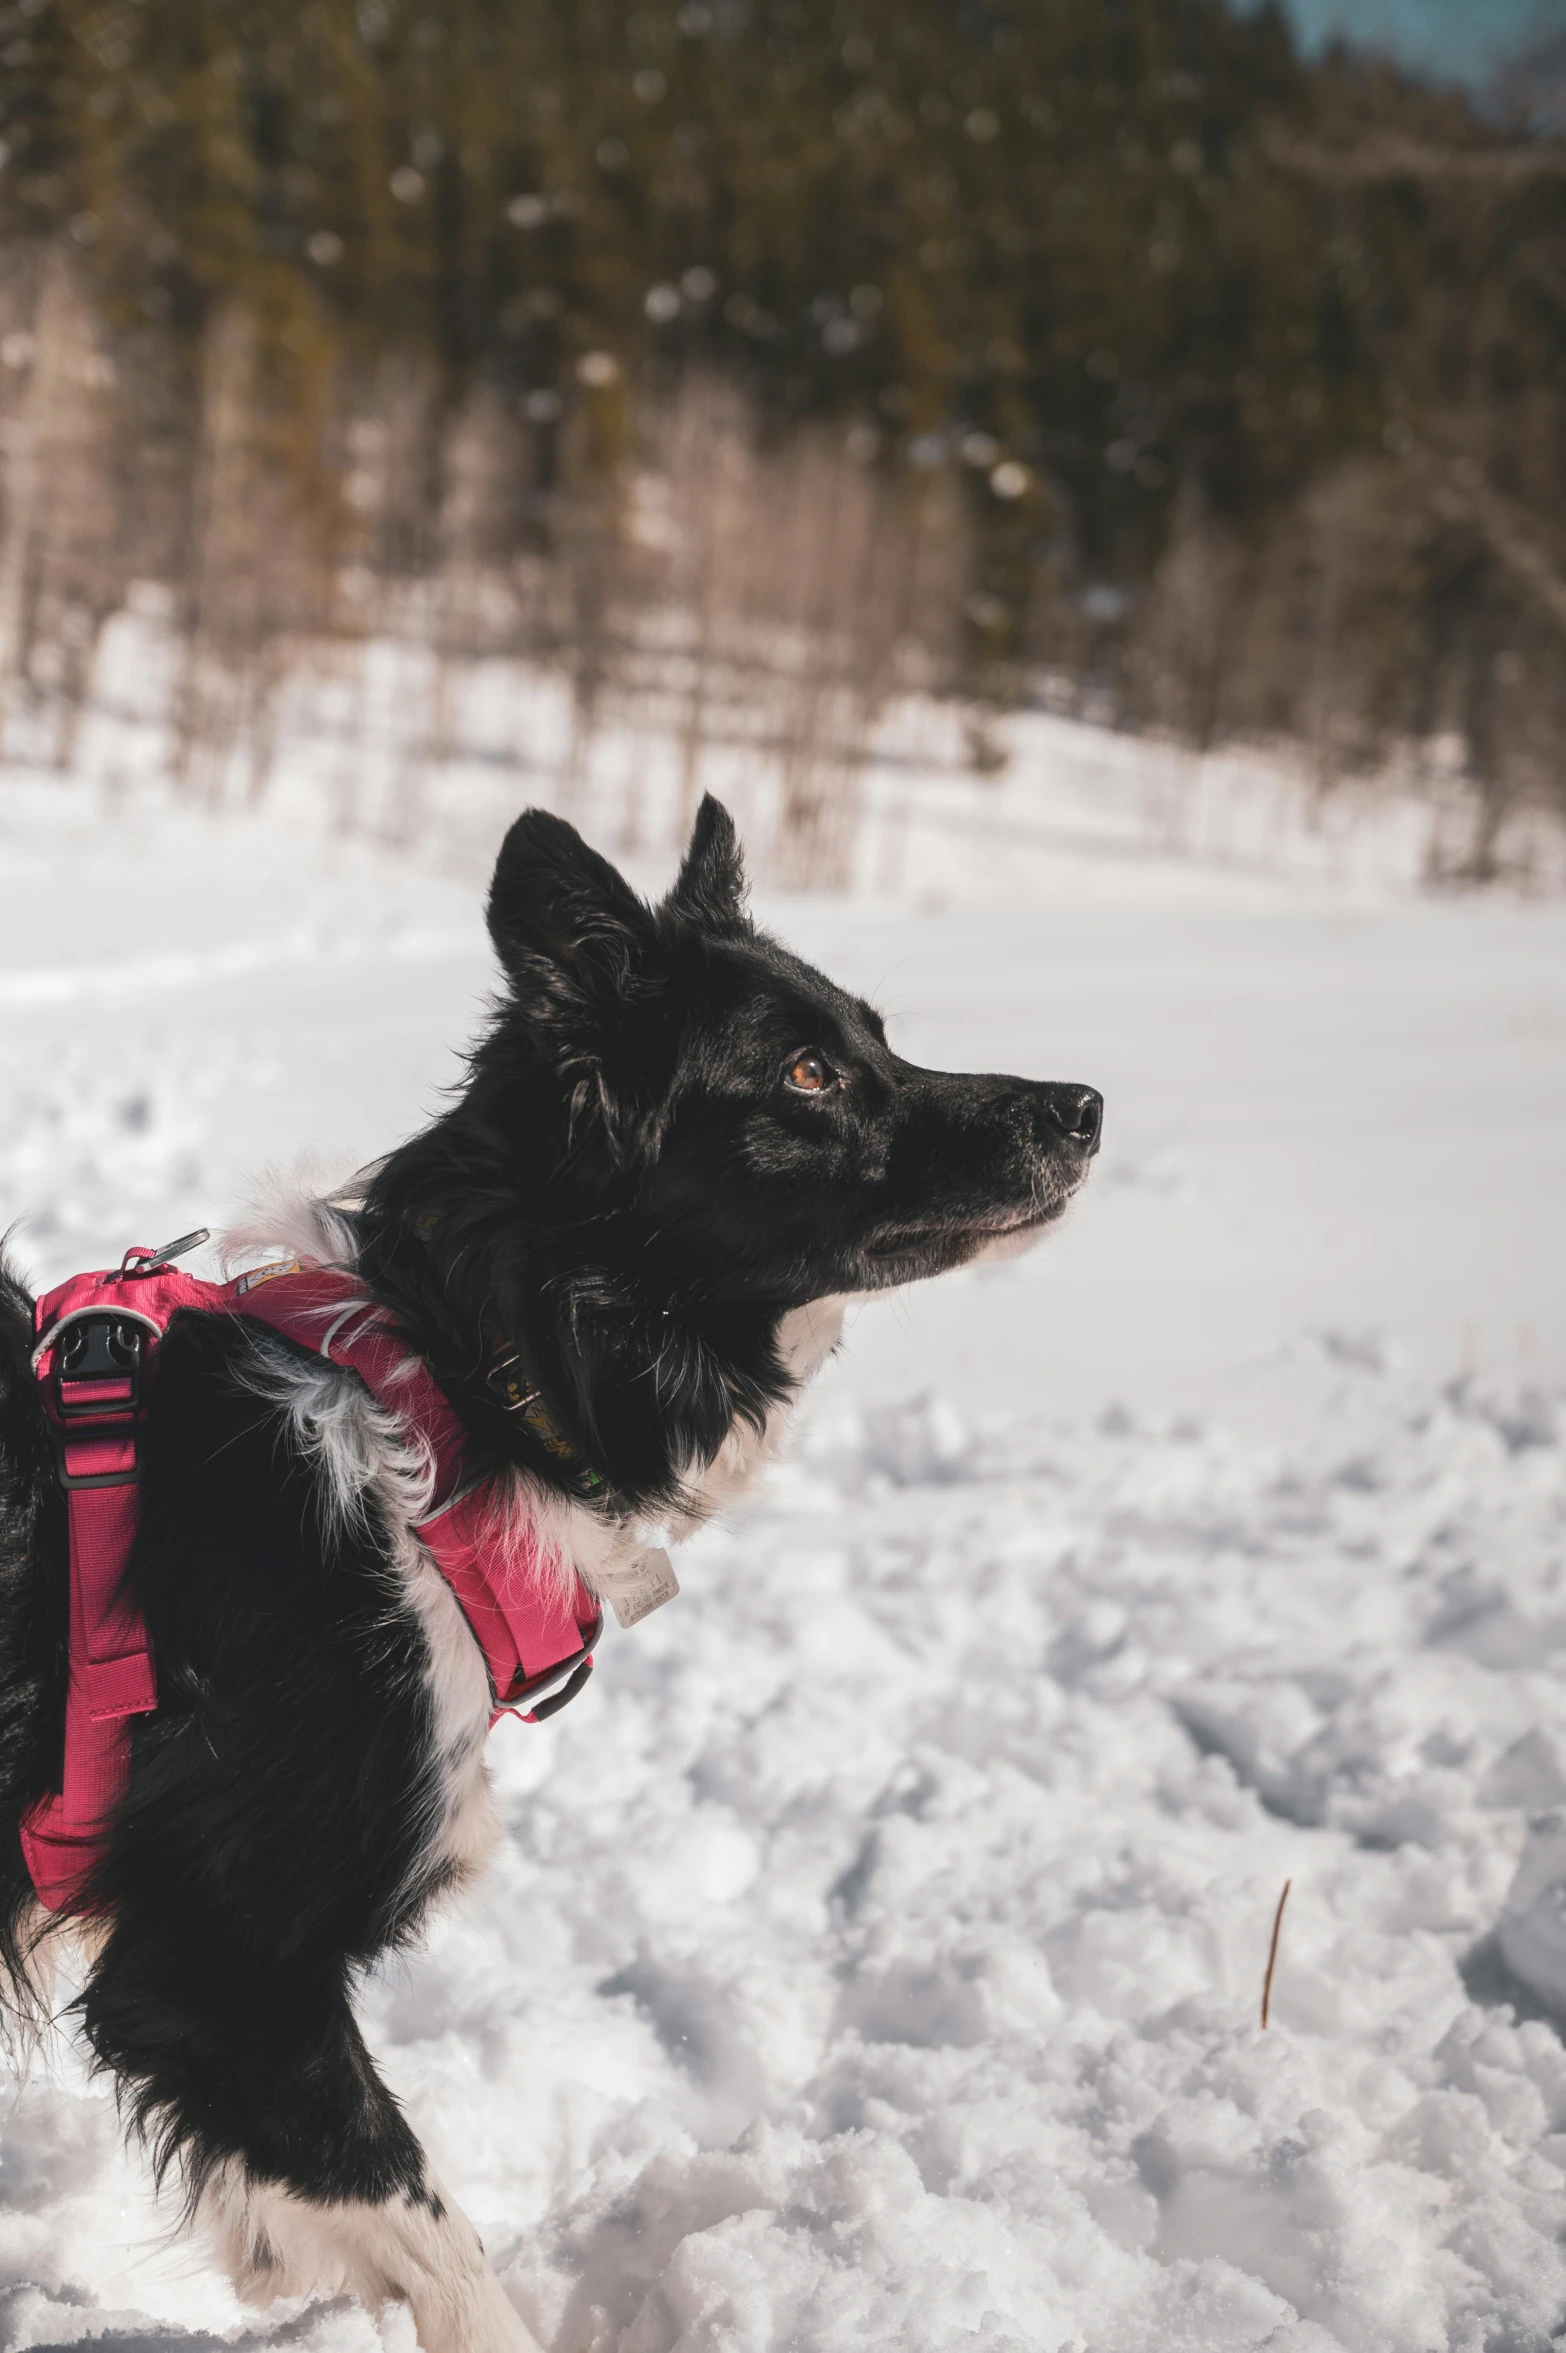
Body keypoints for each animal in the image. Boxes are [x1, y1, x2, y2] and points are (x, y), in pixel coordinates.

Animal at [0, 800, 1095, 2343]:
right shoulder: (221, 1959)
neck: (461, 1390)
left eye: (876, 1037)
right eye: (809, 1073)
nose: (1083, 1106)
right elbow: (433, 2231)